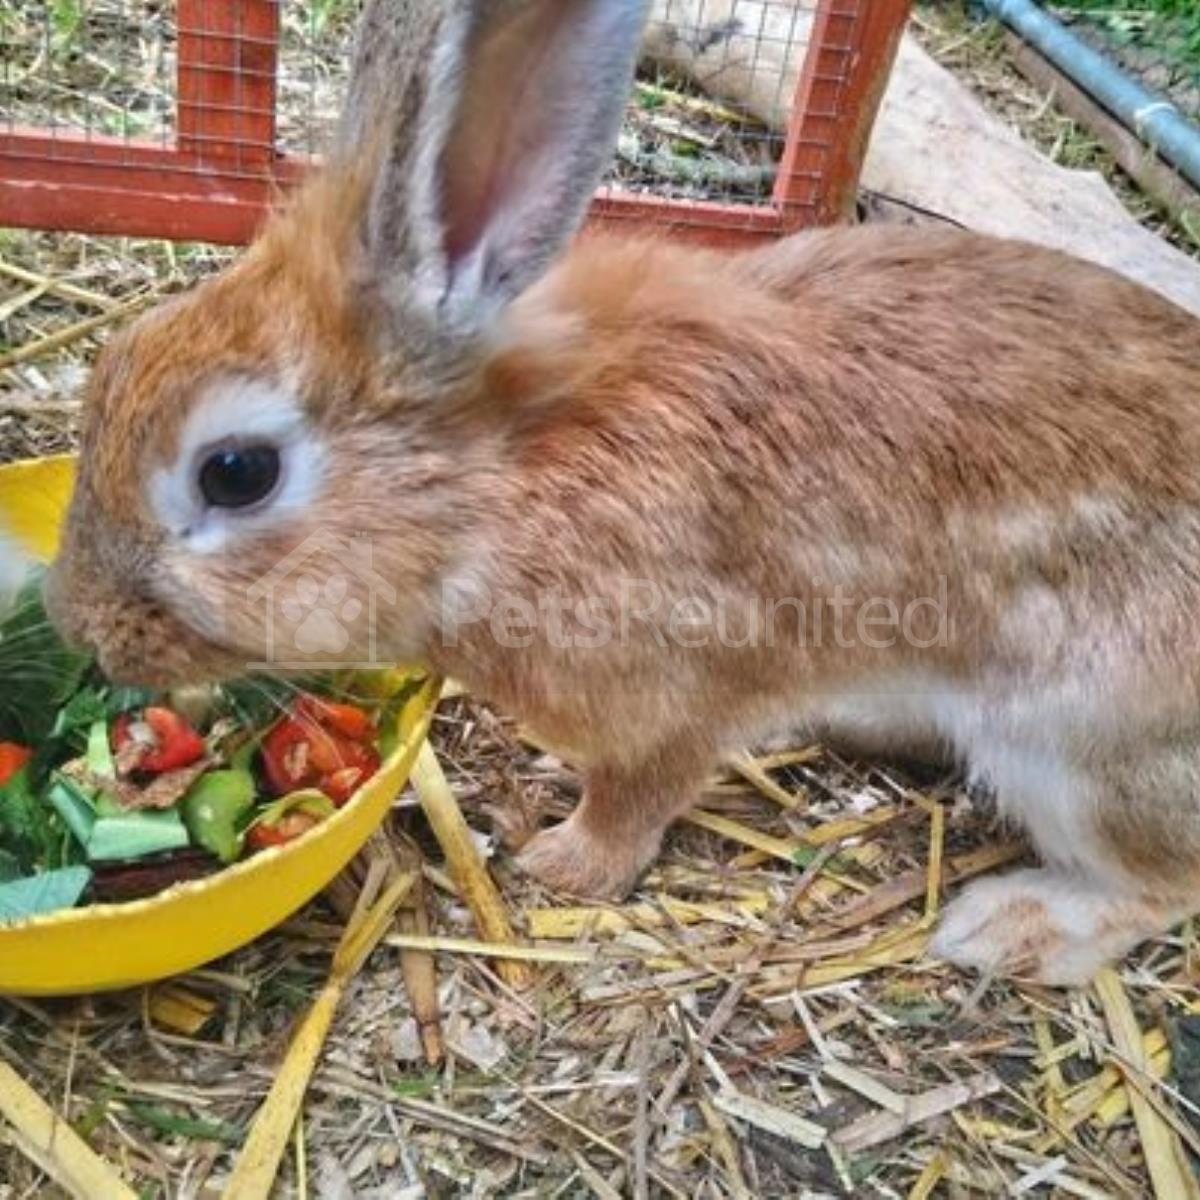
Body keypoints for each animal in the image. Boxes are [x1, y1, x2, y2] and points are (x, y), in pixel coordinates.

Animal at [44, 0, 1200, 986]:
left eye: (235, 472)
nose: (78, 626)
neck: (498, 486)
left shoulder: (674, 695)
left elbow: (637, 795)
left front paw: (565, 863)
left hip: (1081, 745)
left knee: (1161, 881)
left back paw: (1012, 926)